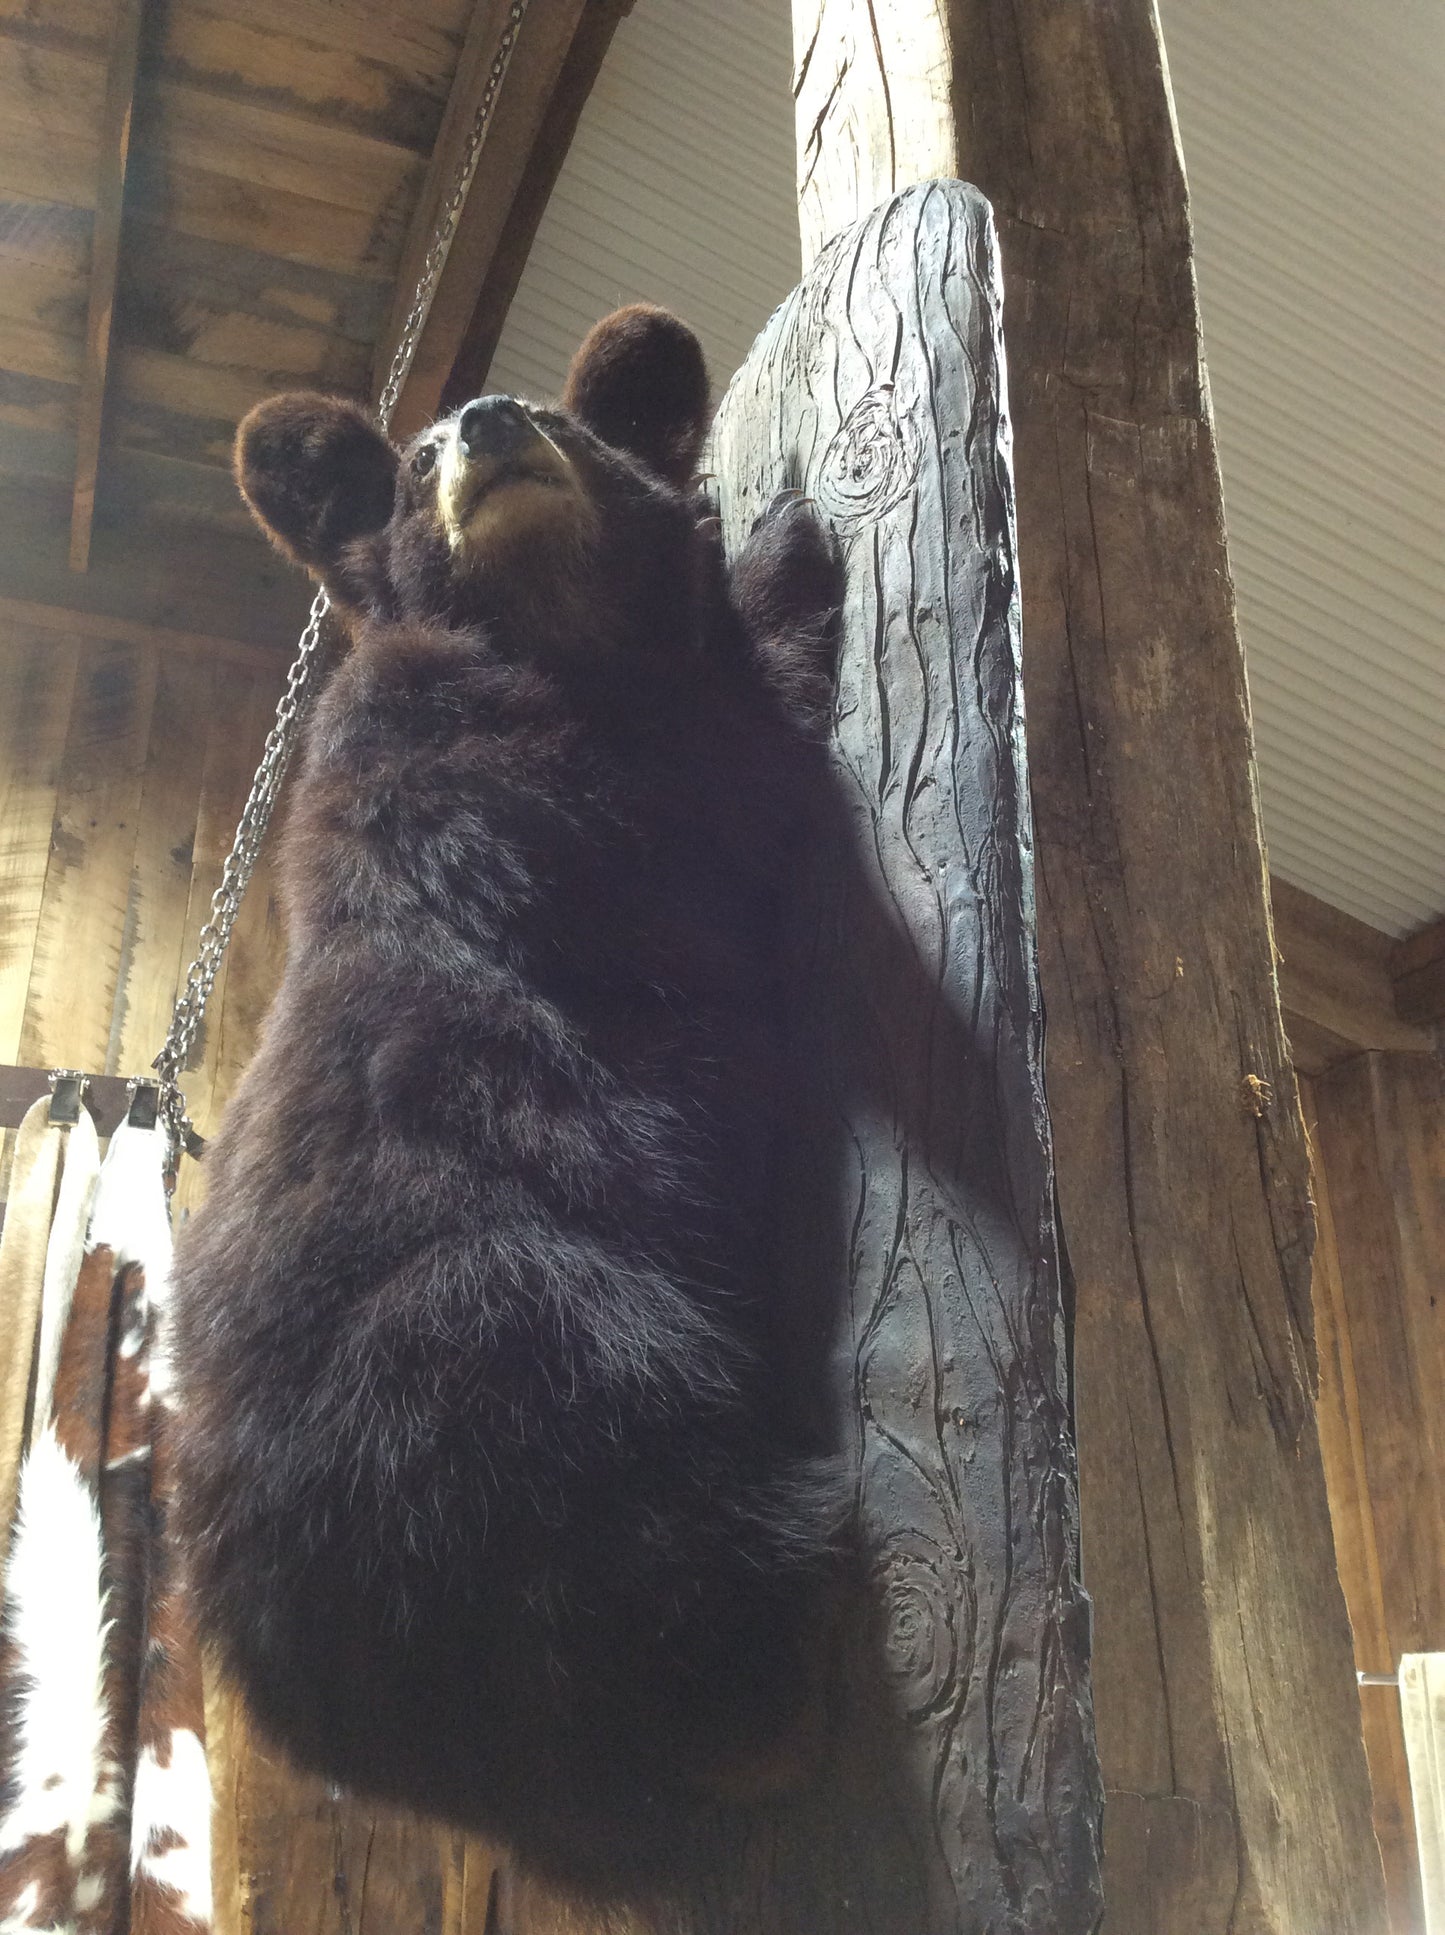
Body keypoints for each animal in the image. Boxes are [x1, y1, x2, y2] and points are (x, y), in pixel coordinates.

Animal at [169, 306, 845, 1904]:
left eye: (572, 417)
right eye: (412, 461)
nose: (485, 421)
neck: (544, 636)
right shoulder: (511, 782)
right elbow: (729, 783)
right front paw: (781, 554)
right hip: (509, 1349)